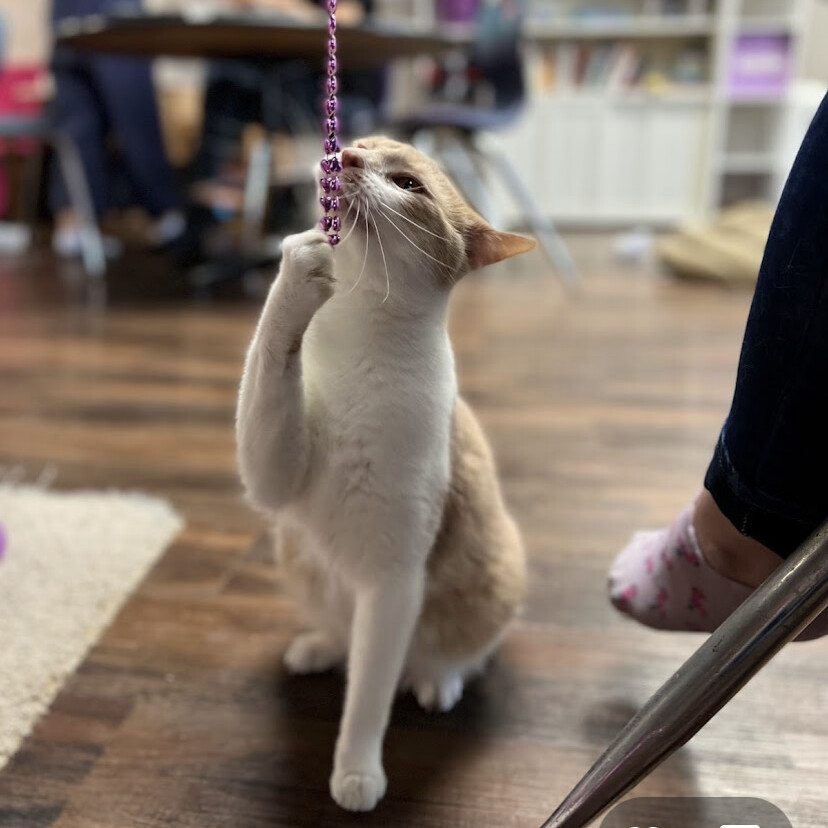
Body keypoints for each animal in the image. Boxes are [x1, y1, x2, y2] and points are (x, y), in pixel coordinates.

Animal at [238, 134, 536, 808]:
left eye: (407, 184)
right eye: (361, 145)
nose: (344, 156)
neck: (359, 342)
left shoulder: (394, 584)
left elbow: (369, 695)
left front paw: (356, 773)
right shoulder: (273, 472)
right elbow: (270, 360)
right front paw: (299, 262)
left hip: (498, 575)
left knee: (460, 652)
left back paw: (436, 681)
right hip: (297, 553)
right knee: (340, 631)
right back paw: (319, 647)